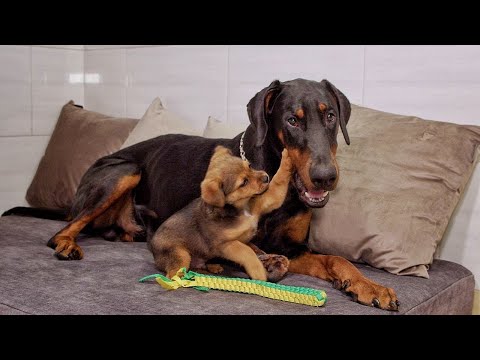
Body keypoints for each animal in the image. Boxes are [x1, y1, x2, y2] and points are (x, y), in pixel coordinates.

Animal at [150, 145, 292, 280]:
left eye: (250, 166)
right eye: (244, 182)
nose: (266, 177)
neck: (241, 208)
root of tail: (152, 248)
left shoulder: (267, 200)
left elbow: (279, 181)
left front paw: (287, 157)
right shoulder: (225, 244)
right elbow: (247, 251)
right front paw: (258, 271)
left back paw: (212, 267)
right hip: (180, 254)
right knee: (173, 274)